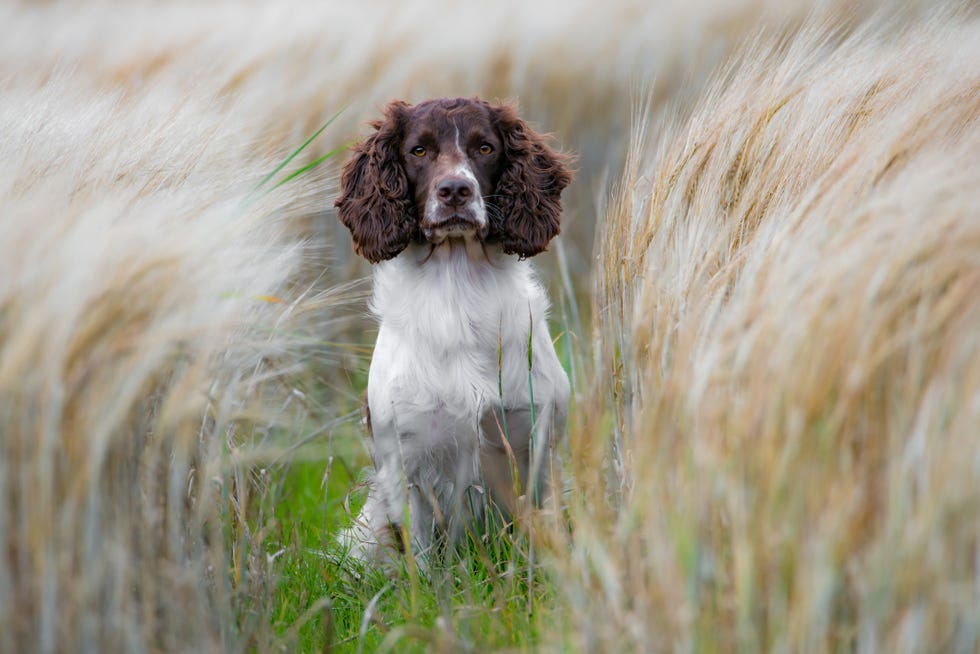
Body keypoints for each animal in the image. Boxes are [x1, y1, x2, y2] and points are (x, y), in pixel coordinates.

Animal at [334, 97, 572, 564]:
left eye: (485, 147)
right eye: (418, 150)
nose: (455, 190)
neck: (458, 288)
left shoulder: (537, 443)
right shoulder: (407, 460)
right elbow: (422, 560)